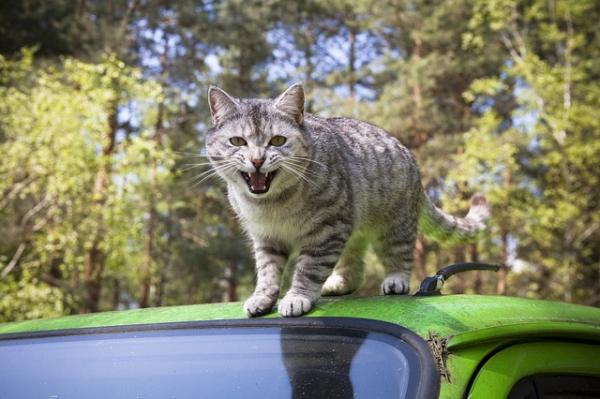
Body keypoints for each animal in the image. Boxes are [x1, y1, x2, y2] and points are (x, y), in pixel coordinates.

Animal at [205, 83, 488, 318]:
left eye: (277, 140)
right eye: (237, 141)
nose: (257, 160)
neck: (272, 204)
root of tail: (409, 155)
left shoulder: (326, 230)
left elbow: (309, 269)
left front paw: (297, 297)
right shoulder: (267, 238)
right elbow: (267, 271)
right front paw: (262, 298)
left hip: (394, 224)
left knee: (401, 253)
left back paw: (396, 279)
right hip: (353, 230)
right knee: (354, 269)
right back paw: (336, 284)